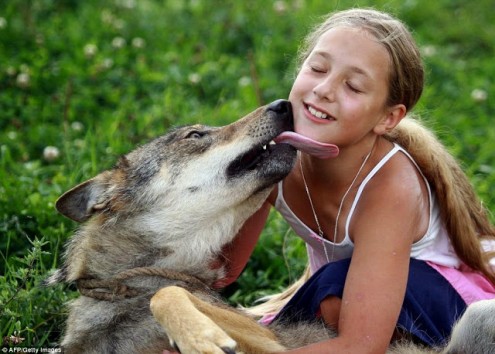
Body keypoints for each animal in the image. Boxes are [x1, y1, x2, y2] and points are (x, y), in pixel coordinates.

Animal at [47, 100, 495, 354]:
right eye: (196, 135)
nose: (284, 103)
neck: (127, 286)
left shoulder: (271, 345)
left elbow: (169, 294)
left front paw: (201, 337)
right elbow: (170, 294)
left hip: (478, 314)